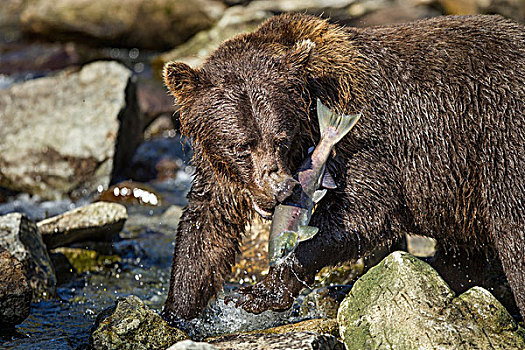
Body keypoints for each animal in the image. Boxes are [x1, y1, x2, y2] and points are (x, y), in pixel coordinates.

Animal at [162, 14, 520, 322]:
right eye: (241, 146)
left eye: (280, 139)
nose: (281, 189)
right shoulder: (221, 174)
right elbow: (206, 228)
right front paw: (177, 310)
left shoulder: (365, 140)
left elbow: (363, 212)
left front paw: (261, 291)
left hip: (499, 144)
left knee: (512, 235)